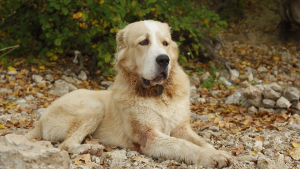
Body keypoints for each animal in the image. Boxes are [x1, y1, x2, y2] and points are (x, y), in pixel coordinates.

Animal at [25, 19, 233, 168]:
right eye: (144, 42)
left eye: (165, 43)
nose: (164, 60)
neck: (158, 94)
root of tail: (41, 119)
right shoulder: (149, 136)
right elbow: (183, 145)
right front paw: (211, 157)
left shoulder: (182, 129)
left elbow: (201, 142)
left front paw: (217, 152)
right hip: (94, 107)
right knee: (65, 145)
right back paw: (90, 148)